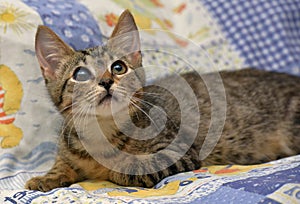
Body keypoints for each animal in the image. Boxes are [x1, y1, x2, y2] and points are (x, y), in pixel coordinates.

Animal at [25, 9, 300, 191]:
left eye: (118, 67)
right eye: (80, 75)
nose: (106, 81)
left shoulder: (180, 151)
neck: (101, 132)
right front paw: (47, 177)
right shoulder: (67, 148)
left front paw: (112, 165)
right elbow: (62, 163)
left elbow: (128, 167)